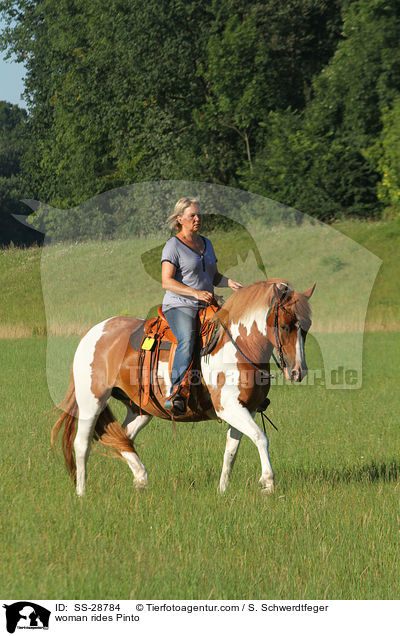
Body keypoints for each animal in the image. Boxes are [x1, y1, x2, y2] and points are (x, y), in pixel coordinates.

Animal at [52, 280, 316, 496]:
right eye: (285, 326)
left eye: (306, 326)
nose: (298, 371)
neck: (239, 346)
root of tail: (92, 333)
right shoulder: (228, 407)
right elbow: (261, 437)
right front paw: (268, 483)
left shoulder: (246, 409)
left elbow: (231, 451)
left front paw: (222, 490)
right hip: (91, 401)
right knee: (82, 444)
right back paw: (82, 492)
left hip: (140, 409)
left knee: (122, 437)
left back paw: (140, 478)